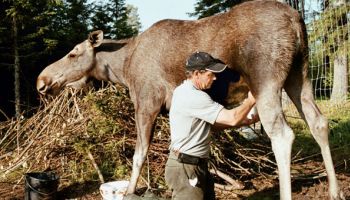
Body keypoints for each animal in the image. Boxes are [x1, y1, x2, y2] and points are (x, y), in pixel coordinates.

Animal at [36, 0, 344, 199]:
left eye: (73, 53)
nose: (42, 81)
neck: (122, 67)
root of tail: (297, 20)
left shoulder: (146, 101)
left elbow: (138, 154)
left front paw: (130, 191)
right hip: (299, 75)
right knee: (318, 122)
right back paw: (334, 191)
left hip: (266, 79)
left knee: (282, 134)